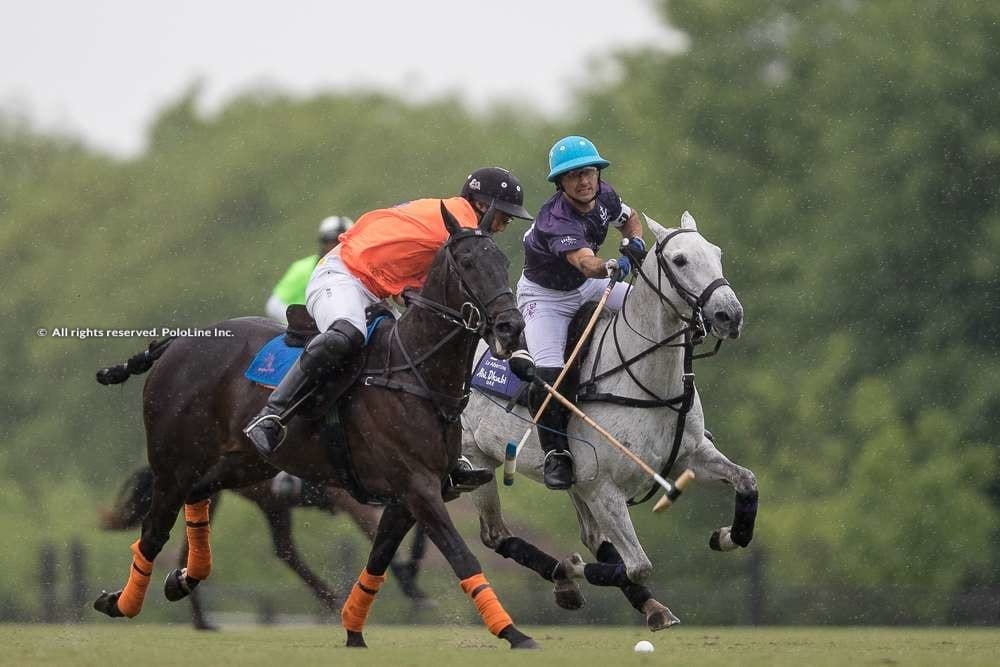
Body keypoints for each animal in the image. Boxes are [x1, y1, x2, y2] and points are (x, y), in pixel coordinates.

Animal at [460, 213, 756, 632]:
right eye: (680, 260)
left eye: (717, 254)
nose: (729, 315)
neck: (648, 380)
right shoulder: (603, 487)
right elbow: (638, 566)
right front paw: (571, 569)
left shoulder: (693, 455)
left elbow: (747, 480)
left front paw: (728, 535)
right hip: (479, 458)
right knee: (496, 534)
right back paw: (565, 578)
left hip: (575, 481)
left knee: (589, 536)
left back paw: (648, 606)